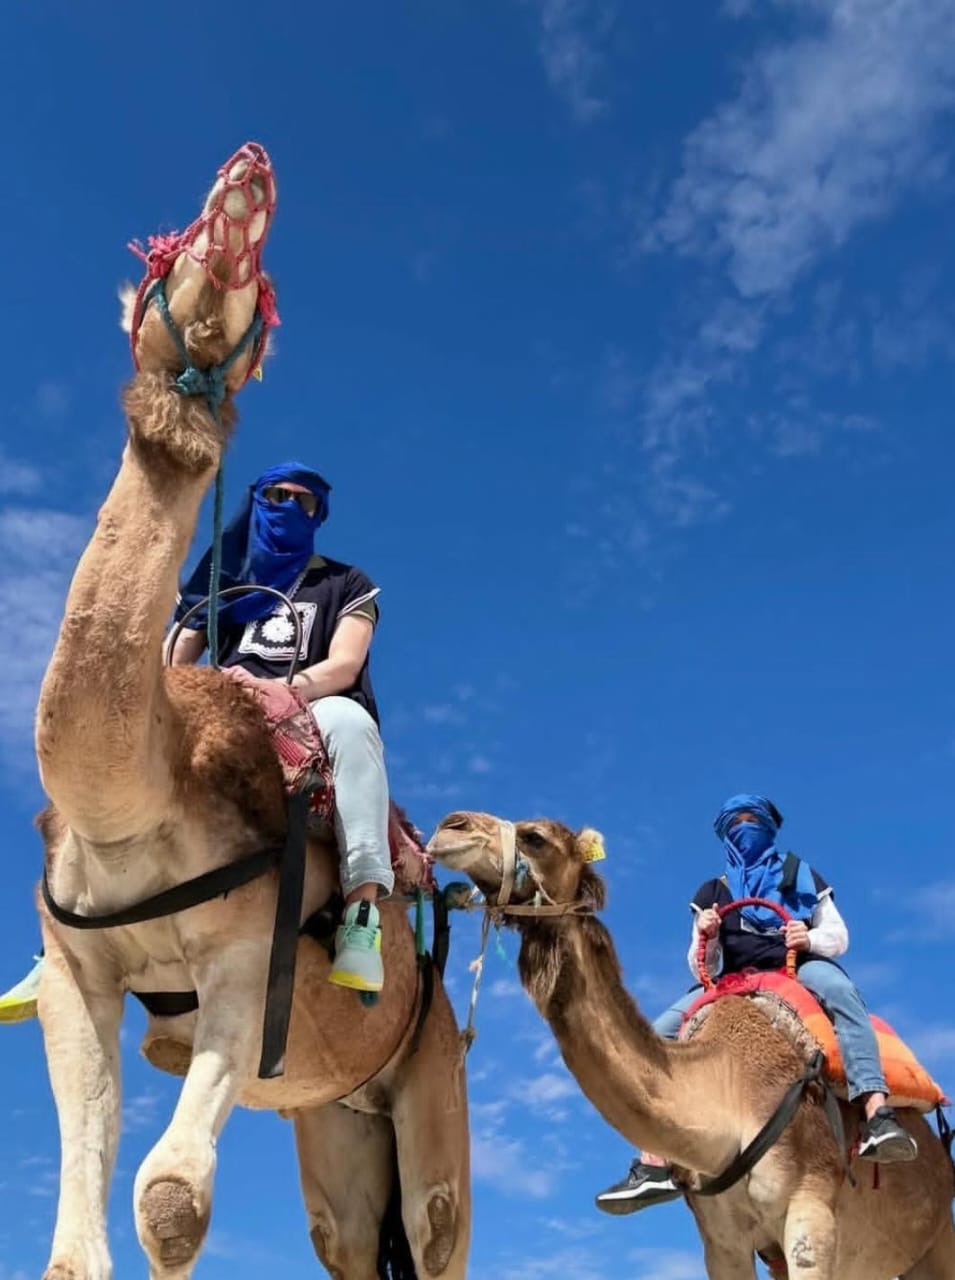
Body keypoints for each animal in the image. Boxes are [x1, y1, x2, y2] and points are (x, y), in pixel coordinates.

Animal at [33, 145, 470, 1280]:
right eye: (170, 244)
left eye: (266, 293)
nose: (249, 182)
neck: (137, 806)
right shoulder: (74, 969)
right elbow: (84, 1241)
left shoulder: (243, 959)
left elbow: (170, 1199)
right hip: (337, 1115)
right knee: (350, 1235)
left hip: (430, 1065)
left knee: (436, 1225)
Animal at [428, 811, 955, 1280]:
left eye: (535, 837)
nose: (448, 826)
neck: (731, 1090)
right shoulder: (721, 1239)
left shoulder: (813, 1215)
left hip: (935, 1239)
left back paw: (886, 1133)